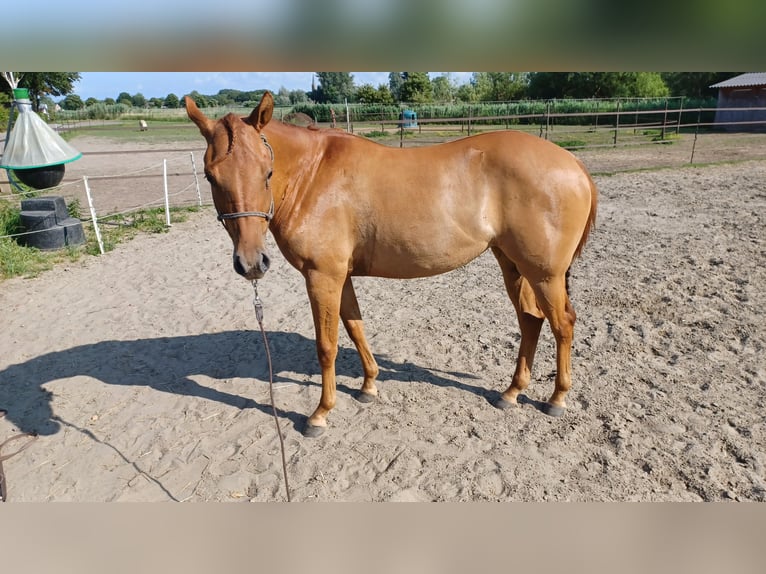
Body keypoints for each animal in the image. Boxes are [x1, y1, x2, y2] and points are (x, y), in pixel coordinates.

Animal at [185, 92, 597, 437]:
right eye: (210, 176)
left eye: (266, 172)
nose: (251, 262)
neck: (312, 175)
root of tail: (573, 163)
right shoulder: (341, 276)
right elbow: (355, 328)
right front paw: (368, 386)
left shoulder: (322, 276)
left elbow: (326, 345)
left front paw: (320, 414)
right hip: (513, 264)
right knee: (530, 321)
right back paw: (511, 392)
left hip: (544, 274)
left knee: (562, 324)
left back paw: (556, 399)